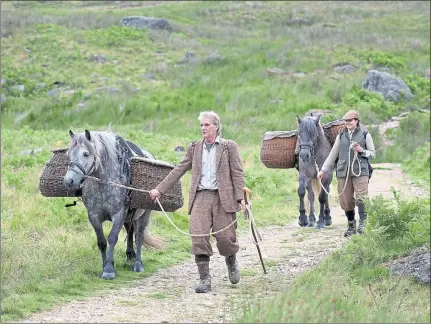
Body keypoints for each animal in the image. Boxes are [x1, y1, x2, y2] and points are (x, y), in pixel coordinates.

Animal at [65, 129, 163, 278]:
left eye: (86, 154)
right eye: (69, 154)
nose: (68, 180)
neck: (105, 182)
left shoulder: (119, 214)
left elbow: (112, 238)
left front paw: (109, 269)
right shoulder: (94, 216)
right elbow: (101, 242)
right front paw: (104, 266)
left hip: (144, 214)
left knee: (139, 235)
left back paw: (138, 264)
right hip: (129, 216)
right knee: (130, 230)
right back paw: (130, 255)